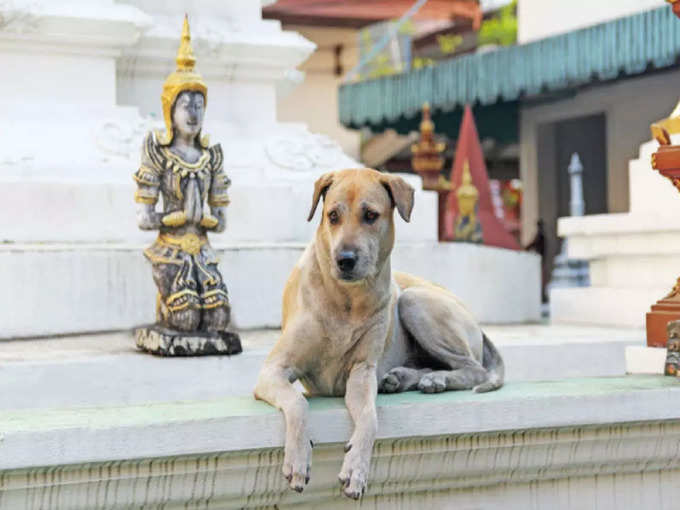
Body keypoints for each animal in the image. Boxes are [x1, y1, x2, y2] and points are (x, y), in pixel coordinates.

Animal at [255, 167, 504, 498]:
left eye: (371, 215)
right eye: (333, 215)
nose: (345, 259)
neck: (346, 298)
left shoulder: (361, 372)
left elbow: (369, 418)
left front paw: (356, 468)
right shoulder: (274, 370)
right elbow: (298, 402)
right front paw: (297, 459)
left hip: (414, 301)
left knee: (474, 368)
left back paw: (431, 379)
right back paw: (408, 378)